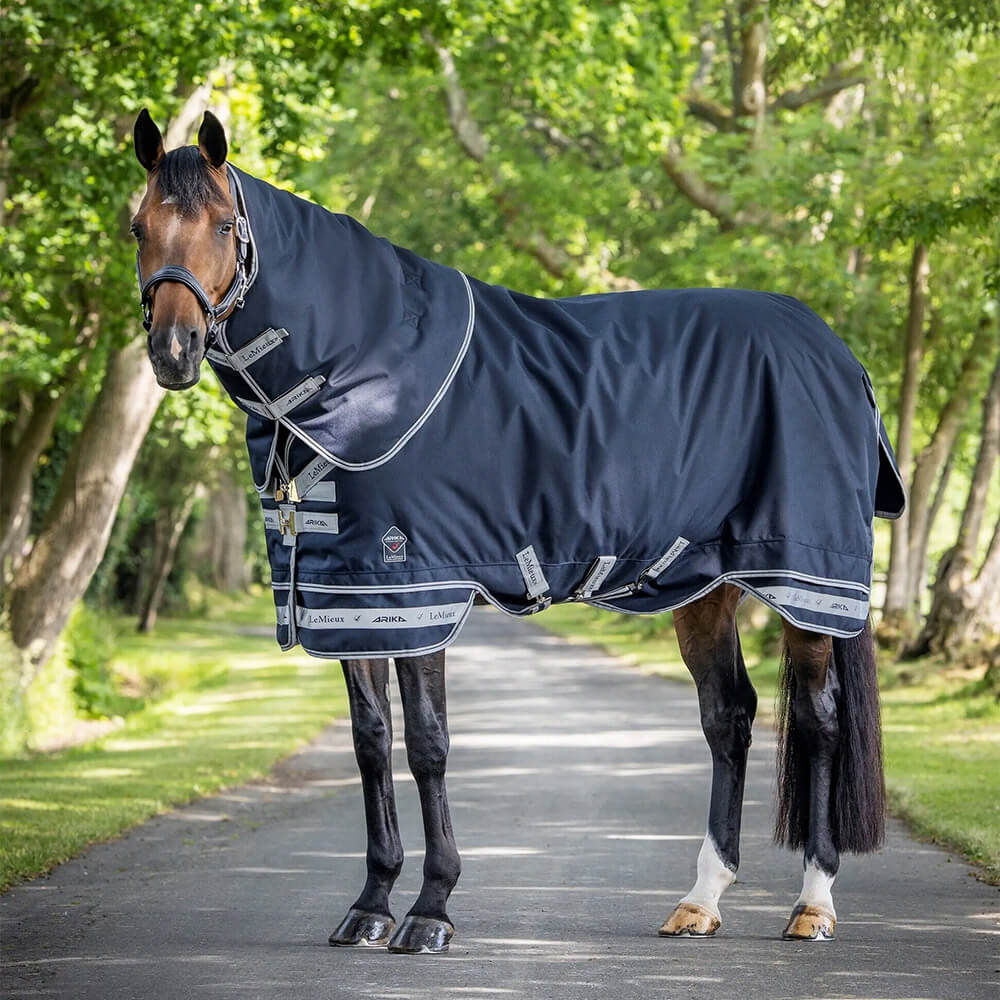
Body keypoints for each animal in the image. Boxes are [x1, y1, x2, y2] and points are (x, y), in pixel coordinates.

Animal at [130, 108, 903, 954]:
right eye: (139, 227)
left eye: (222, 223)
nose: (172, 351)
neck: (361, 367)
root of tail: (836, 353)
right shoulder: (352, 598)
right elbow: (370, 744)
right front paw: (370, 906)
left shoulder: (418, 592)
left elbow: (427, 744)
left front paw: (430, 911)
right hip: (707, 587)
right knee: (727, 719)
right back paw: (700, 900)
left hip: (805, 585)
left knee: (821, 723)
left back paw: (812, 905)